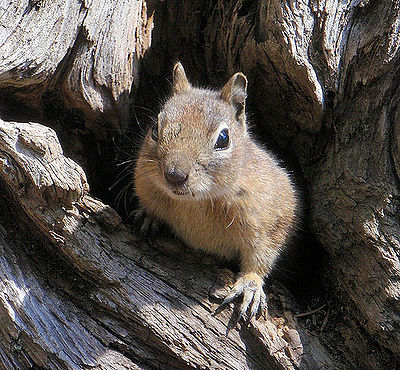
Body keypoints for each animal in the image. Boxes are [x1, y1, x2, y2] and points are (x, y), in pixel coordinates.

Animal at [134, 62, 296, 322]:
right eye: (155, 128)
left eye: (223, 138)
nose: (175, 175)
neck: (196, 203)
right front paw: (148, 217)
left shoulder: (272, 219)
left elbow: (261, 257)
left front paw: (250, 285)